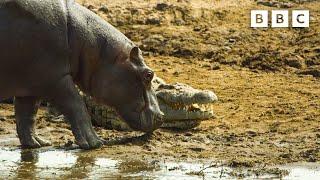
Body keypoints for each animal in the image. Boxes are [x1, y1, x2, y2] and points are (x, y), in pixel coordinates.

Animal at [0, 0, 164, 149]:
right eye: (148, 74)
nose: (161, 116)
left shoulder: (31, 85)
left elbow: (27, 115)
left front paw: (38, 143)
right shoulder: (56, 79)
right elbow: (77, 106)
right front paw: (95, 143)